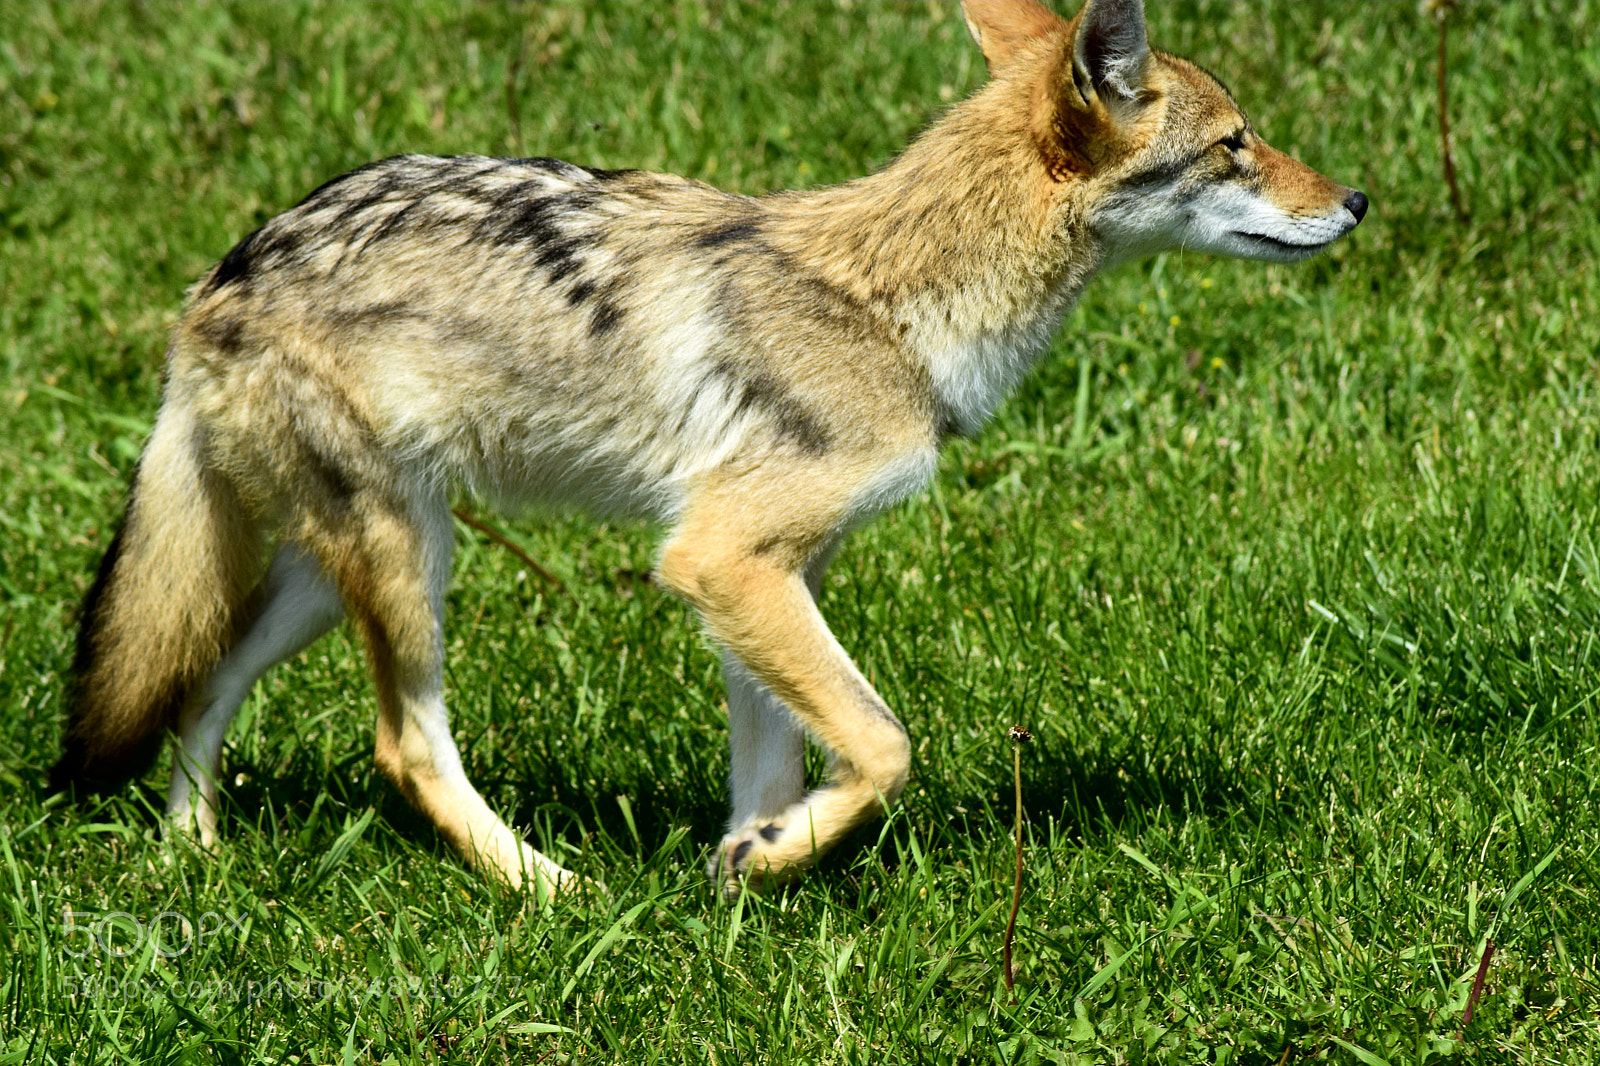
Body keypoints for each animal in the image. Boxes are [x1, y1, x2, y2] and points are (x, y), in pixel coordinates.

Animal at [54, 0, 1366, 898]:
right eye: (1237, 144)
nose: (1354, 200)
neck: (894, 305)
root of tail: (213, 284)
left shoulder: (777, 575)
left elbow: (781, 760)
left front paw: (753, 871)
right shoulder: (718, 559)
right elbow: (885, 745)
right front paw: (769, 860)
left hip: (346, 574)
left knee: (200, 683)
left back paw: (190, 857)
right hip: (403, 565)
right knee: (405, 745)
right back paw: (551, 890)